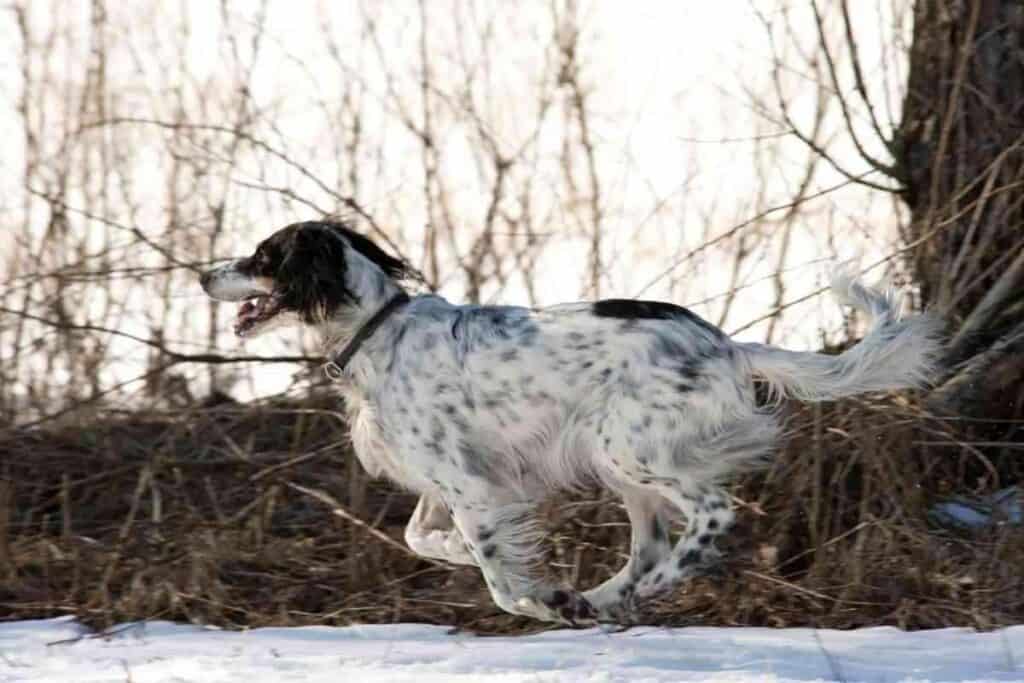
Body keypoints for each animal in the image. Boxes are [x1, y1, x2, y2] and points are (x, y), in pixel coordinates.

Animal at [199, 220, 942, 626]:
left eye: (262, 257)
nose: (204, 275)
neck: (380, 330)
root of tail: (727, 345)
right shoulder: (452, 483)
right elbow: (423, 538)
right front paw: (510, 570)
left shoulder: (471, 486)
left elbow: (501, 583)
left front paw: (540, 597)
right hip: (621, 464)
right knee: (648, 545)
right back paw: (606, 597)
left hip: (630, 448)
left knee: (711, 515)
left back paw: (637, 588)